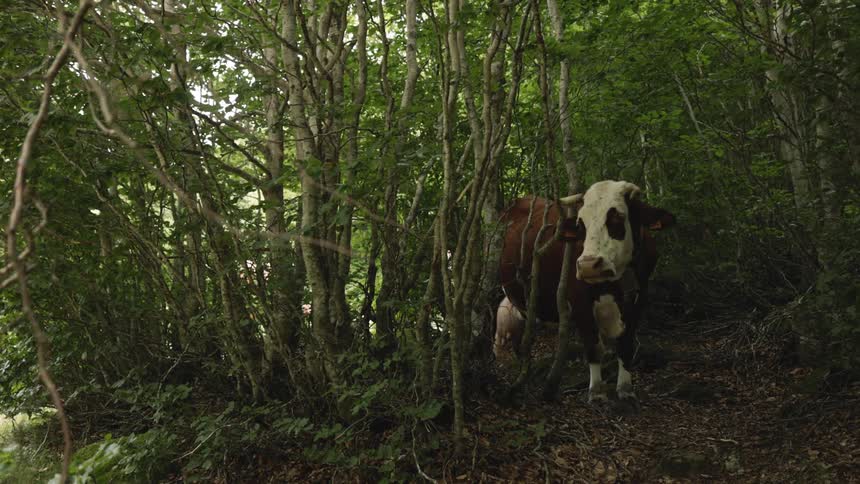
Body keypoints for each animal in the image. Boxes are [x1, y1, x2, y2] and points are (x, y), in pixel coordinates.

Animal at [498, 180, 675, 404]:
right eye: (581, 225)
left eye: (618, 217)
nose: (588, 265)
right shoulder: (579, 302)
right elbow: (592, 346)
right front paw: (596, 391)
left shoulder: (639, 297)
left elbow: (626, 345)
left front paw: (625, 388)